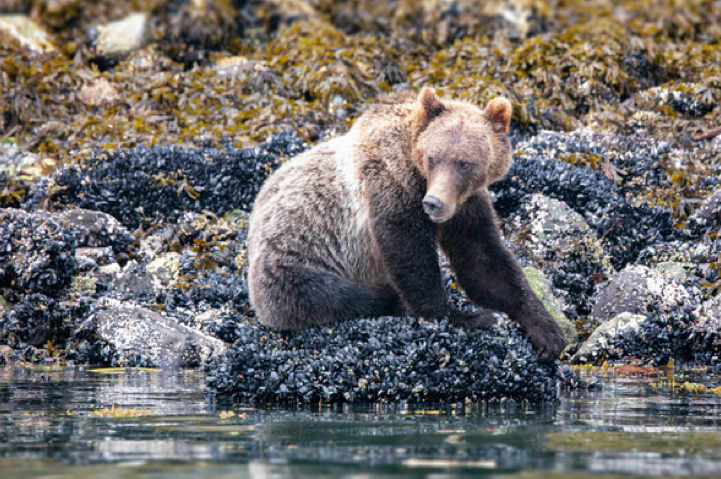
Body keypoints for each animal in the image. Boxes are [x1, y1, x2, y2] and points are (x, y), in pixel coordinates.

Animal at [248, 88, 568, 362]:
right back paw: (391, 302)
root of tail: (253, 222)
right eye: (433, 157)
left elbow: (484, 262)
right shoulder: (392, 185)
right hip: (288, 267)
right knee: (332, 294)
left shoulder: (465, 206)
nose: (434, 203)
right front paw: (468, 316)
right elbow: (410, 254)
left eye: (464, 162)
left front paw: (547, 330)